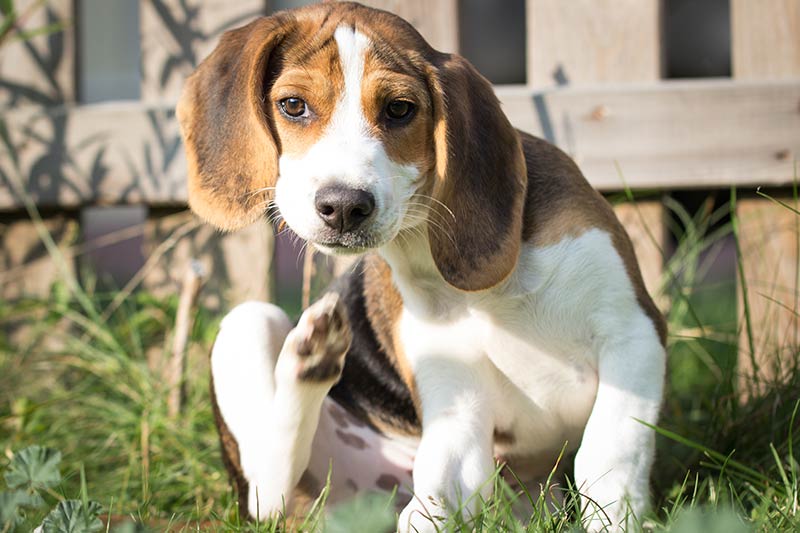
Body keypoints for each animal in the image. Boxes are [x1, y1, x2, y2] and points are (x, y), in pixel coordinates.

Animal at [177, 3, 668, 528]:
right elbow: (438, 495)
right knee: (267, 489)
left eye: (399, 109)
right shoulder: (458, 401)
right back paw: (310, 357)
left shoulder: (634, 335)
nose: (344, 206)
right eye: (292, 105)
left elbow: (608, 455)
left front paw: (618, 520)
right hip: (248, 324)